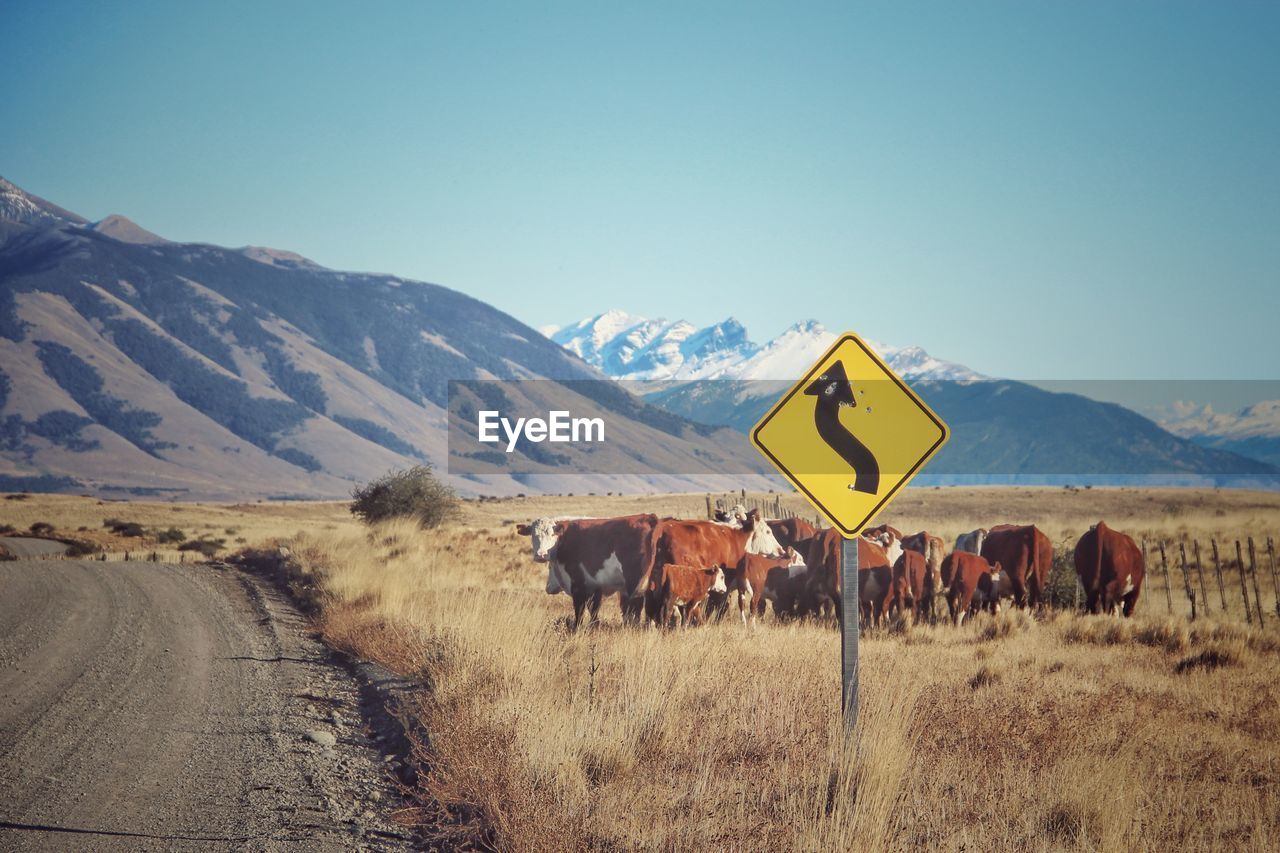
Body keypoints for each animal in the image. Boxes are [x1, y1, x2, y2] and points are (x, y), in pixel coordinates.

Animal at [517, 514, 660, 627]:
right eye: (533, 535)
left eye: (552, 534)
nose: (541, 555)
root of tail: (648, 517)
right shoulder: (595, 588)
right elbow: (594, 611)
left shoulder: (578, 586)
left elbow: (579, 612)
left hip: (635, 583)